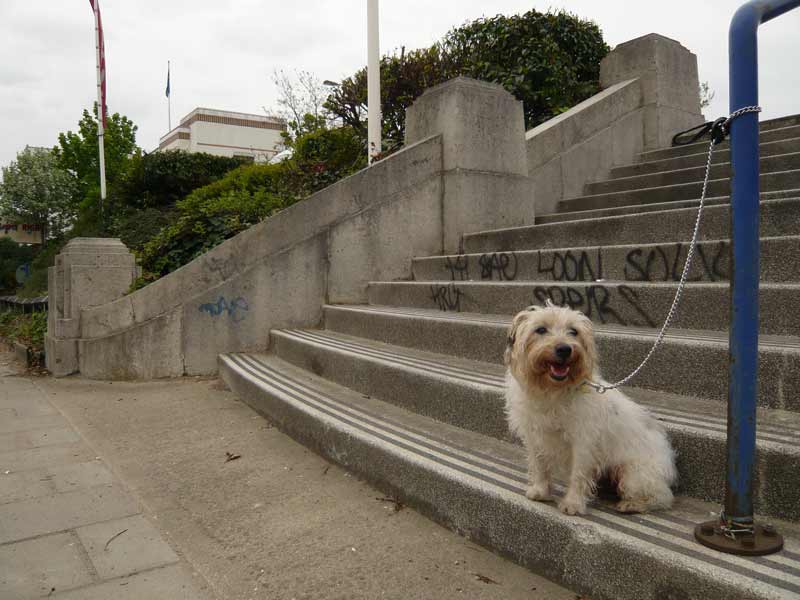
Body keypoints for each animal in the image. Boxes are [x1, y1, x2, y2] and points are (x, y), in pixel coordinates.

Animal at [506, 304, 676, 516]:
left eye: (573, 331)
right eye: (541, 329)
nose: (564, 349)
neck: (553, 391)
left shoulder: (583, 442)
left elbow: (578, 474)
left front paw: (573, 503)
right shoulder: (534, 436)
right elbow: (539, 465)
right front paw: (540, 490)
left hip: (634, 474)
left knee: (662, 496)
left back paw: (633, 504)